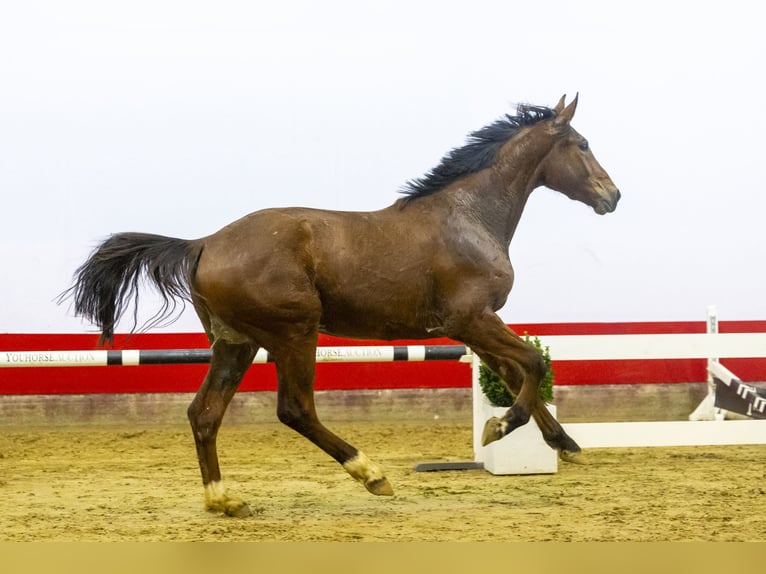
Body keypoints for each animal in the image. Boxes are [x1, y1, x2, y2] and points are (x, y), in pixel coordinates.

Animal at [63, 94, 620, 516]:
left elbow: (513, 370)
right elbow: (529, 363)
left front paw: (565, 445)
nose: (612, 196)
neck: (468, 217)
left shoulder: (472, 327)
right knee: (295, 409)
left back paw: (224, 500)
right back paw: (371, 474)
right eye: (582, 144)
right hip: (295, 332)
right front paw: (501, 427)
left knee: (204, 413)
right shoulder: (470, 318)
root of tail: (201, 243)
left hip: (234, 343)